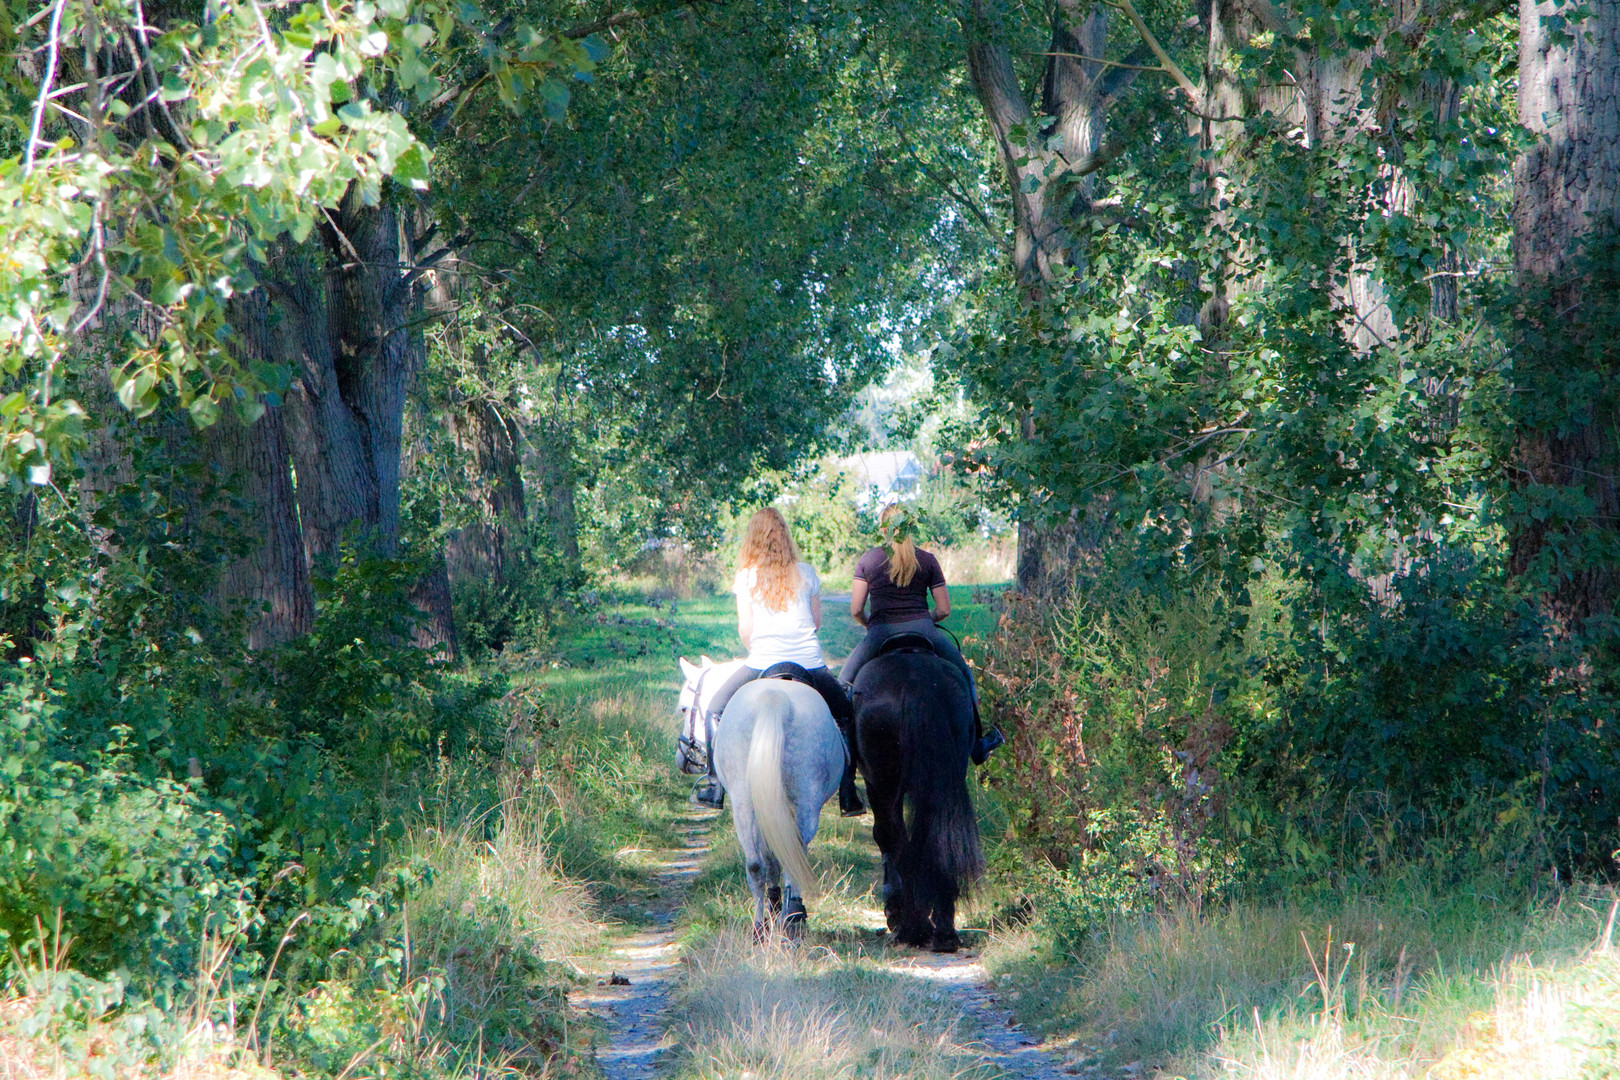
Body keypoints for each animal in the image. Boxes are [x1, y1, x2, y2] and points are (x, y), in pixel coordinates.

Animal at [677, 663, 842, 932]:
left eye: (683, 708)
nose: (682, 759)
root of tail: (775, 697)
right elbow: (772, 859)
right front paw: (778, 907)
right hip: (797, 803)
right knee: (780, 861)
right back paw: (786, 919)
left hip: (751, 804)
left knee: (765, 862)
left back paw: (767, 925)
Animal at [855, 641, 978, 952]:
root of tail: (914, 682)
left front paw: (894, 910)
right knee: (935, 834)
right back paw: (943, 931)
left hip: (883, 782)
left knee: (893, 836)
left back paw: (911, 927)